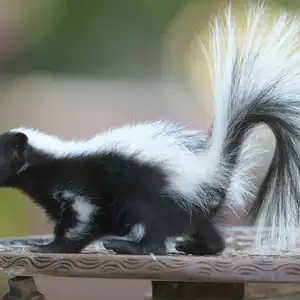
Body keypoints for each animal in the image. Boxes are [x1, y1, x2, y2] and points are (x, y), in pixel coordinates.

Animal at [0, 2, 300, 255]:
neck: (51, 162)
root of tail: (212, 168)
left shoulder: (79, 191)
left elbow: (83, 221)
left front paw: (49, 247)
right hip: (194, 206)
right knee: (206, 232)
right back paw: (197, 247)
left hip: (152, 193)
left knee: (153, 231)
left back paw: (126, 246)